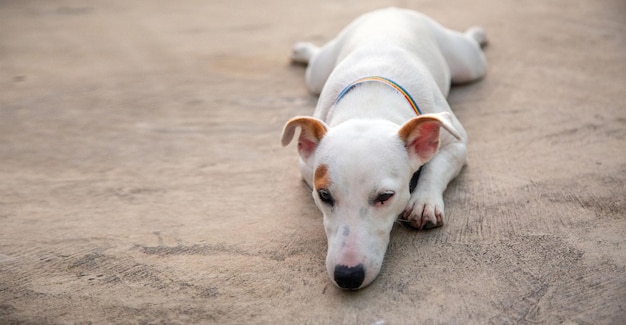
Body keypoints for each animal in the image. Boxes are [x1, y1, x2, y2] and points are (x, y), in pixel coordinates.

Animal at [280, 8, 486, 288]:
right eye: (324, 196)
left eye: (385, 196)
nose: (347, 276)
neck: (371, 105)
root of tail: (391, 9)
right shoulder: (306, 165)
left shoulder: (457, 144)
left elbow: (434, 167)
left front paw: (423, 202)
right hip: (318, 73)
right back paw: (303, 50)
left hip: (468, 64)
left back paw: (478, 34)